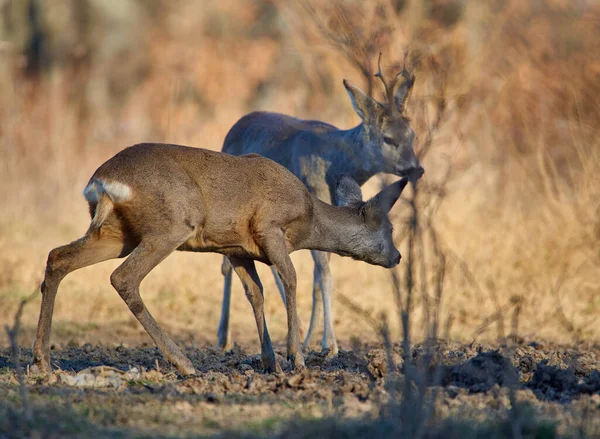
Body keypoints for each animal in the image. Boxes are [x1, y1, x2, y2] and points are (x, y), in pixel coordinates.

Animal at [31, 143, 408, 376]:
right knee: (123, 277)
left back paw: (42, 361)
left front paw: (270, 361)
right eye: (390, 228)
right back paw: (184, 363)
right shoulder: (270, 227)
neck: (310, 220)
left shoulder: (236, 248)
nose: (398, 256)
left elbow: (256, 293)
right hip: (172, 223)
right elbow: (290, 280)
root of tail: (102, 182)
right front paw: (296, 358)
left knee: (57, 257)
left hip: (116, 234)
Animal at [217, 53, 422, 356]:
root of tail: (235, 126)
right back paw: (224, 336)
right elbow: (324, 273)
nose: (417, 168)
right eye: (388, 138)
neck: (337, 161)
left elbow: (316, 276)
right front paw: (331, 343)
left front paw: (310, 339)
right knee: (226, 265)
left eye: (413, 135)